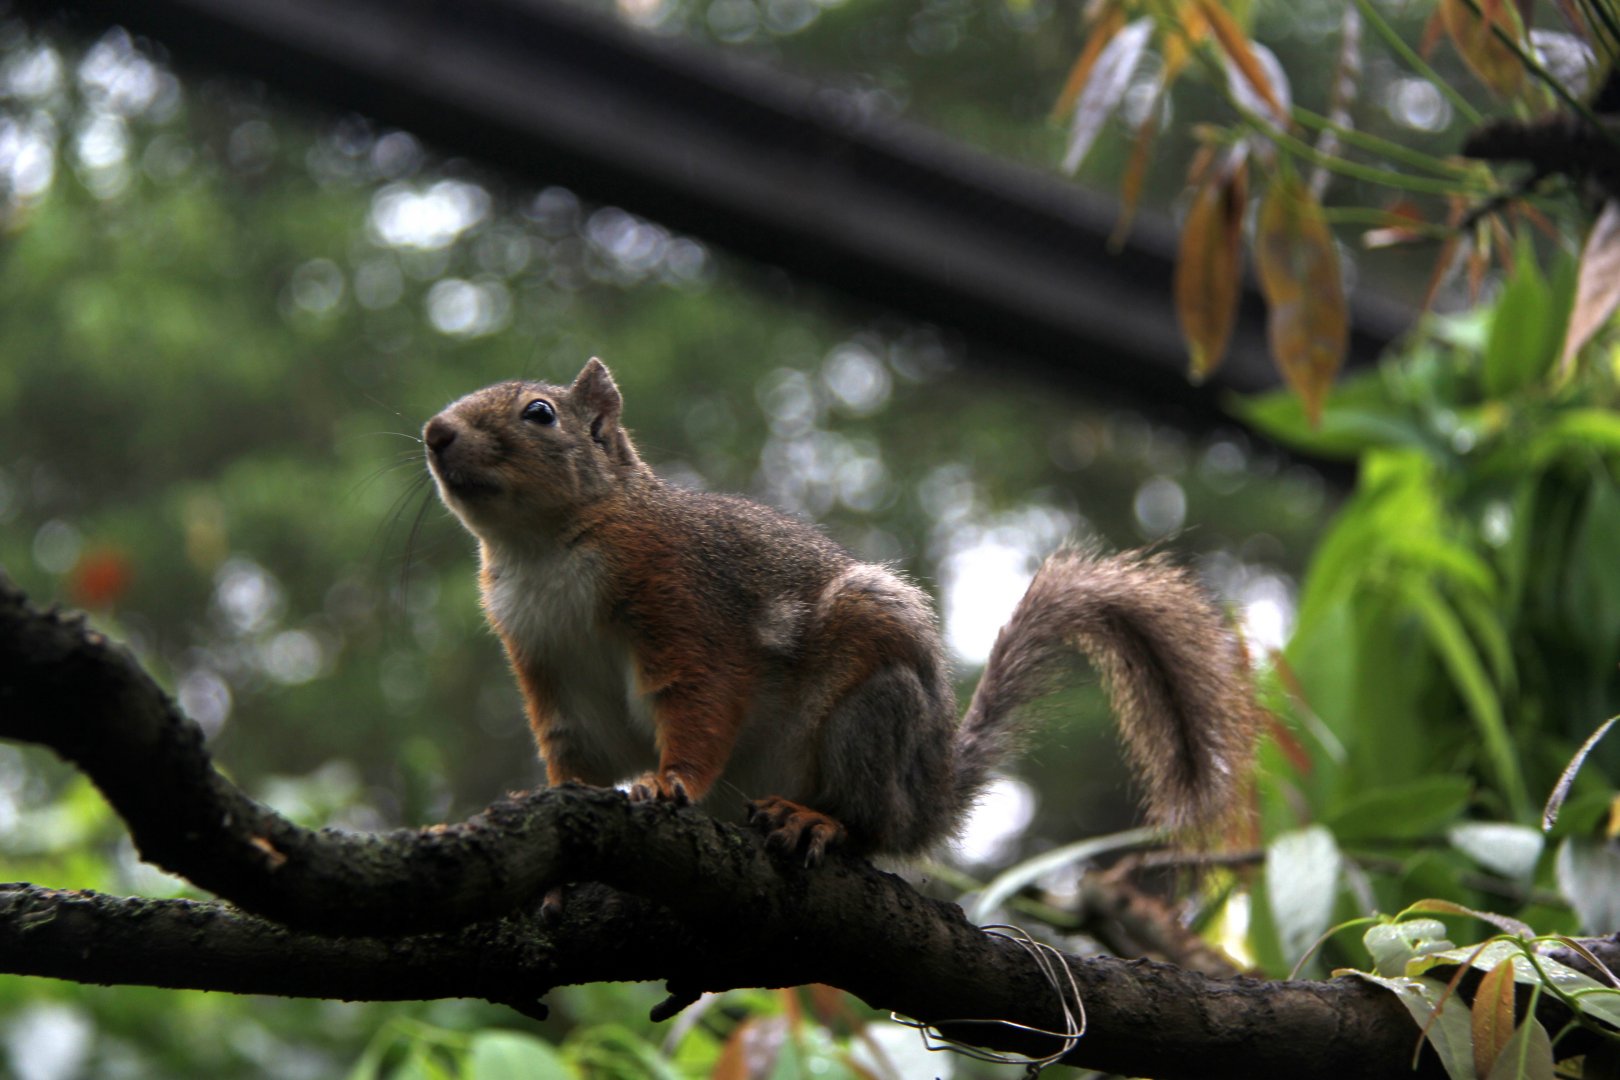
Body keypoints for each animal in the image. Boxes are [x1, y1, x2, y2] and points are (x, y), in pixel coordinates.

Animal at [424, 358, 1259, 864]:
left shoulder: (687, 606)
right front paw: (526, 802)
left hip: (871, 708)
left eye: (540, 413)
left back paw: (817, 819)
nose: (435, 433)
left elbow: (700, 703)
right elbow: (577, 751)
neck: (545, 551)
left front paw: (669, 784)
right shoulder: (547, 664)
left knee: (869, 830)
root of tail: (927, 799)